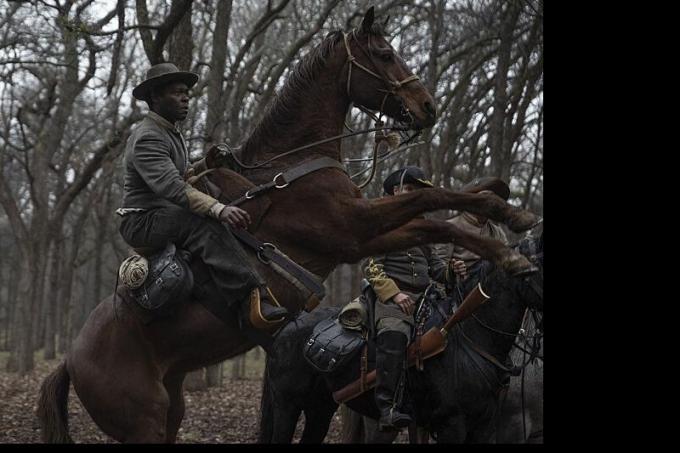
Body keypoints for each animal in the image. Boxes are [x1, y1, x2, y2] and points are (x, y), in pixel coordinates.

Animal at [258, 231, 544, 444]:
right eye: (536, 269)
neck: (471, 337)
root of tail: (288, 327)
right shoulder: (453, 424)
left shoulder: (484, 426)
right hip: (288, 407)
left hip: (321, 409)